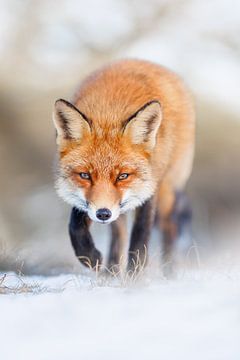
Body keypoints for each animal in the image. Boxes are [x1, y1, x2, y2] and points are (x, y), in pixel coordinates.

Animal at [53, 59, 195, 272]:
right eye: (85, 175)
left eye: (123, 176)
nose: (103, 214)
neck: (110, 112)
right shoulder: (91, 202)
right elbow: (75, 225)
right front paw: (90, 257)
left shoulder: (149, 189)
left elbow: (140, 238)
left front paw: (135, 276)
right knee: (118, 236)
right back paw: (111, 272)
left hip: (167, 191)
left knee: (170, 227)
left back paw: (169, 272)